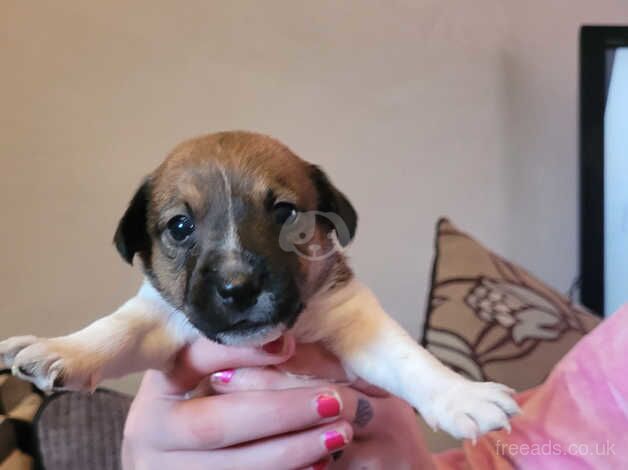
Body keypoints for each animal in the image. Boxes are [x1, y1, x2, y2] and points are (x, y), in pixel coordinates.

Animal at [1, 130, 520, 438]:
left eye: (286, 213)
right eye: (180, 227)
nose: (238, 288)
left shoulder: (353, 317)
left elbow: (407, 358)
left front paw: (462, 395)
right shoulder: (162, 321)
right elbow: (116, 331)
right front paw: (60, 349)